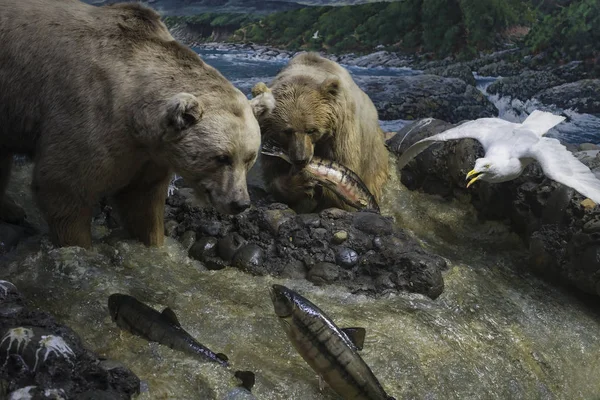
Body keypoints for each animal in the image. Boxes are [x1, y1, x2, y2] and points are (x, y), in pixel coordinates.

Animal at [0, 0, 274, 248]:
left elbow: (143, 203)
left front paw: (154, 241)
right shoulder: (85, 113)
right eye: (222, 157)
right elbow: (64, 188)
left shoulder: (148, 155)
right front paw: (78, 244)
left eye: (249, 157)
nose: (240, 203)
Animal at [252, 52, 390, 212]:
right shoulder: (271, 137)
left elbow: (343, 169)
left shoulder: (341, 133)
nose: (301, 159)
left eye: (311, 130)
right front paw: (300, 182)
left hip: (372, 156)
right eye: (287, 131)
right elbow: (274, 174)